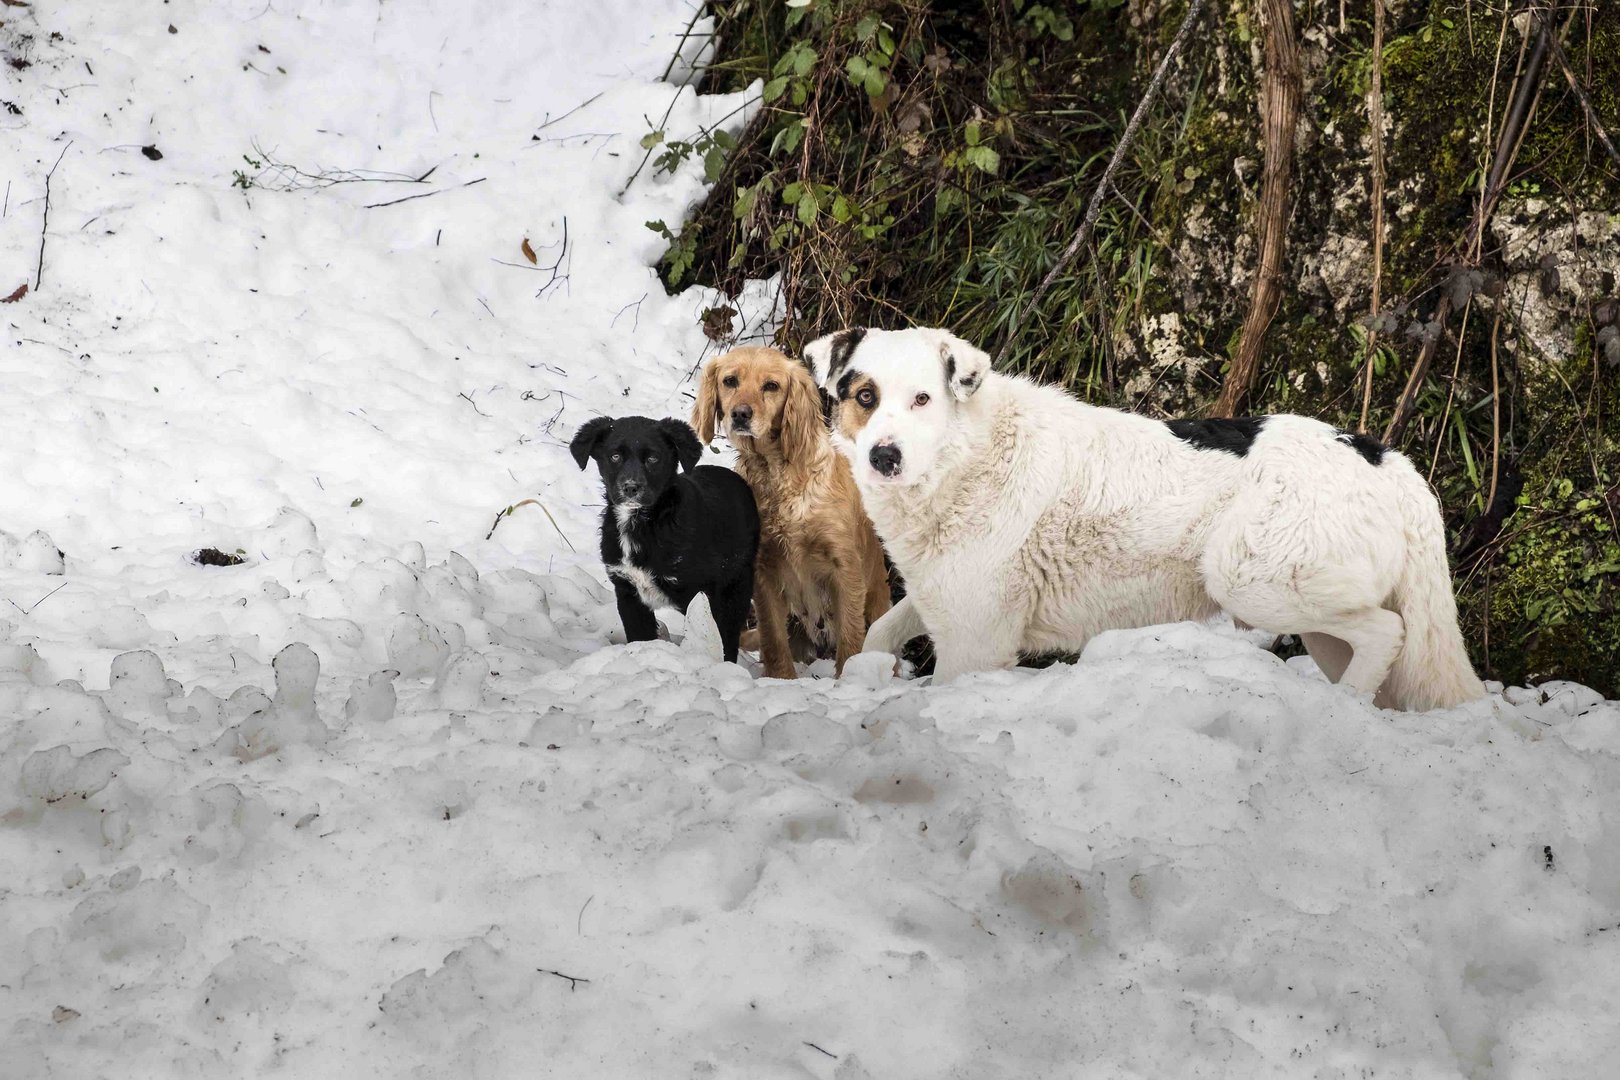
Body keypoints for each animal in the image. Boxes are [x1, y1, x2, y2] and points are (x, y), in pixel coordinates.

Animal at [570, 417, 758, 663]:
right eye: (615, 456)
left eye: (653, 458)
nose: (631, 487)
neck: (645, 524)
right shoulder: (628, 594)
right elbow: (640, 638)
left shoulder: (700, 593)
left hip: (735, 588)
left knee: (729, 637)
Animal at [690, 351, 894, 680]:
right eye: (730, 381)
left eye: (771, 386)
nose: (740, 414)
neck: (776, 475)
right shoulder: (763, 570)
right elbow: (773, 639)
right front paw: (781, 679)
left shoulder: (844, 567)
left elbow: (851, 637)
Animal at [803, 327, 1483, 718]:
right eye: (865, 397)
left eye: (923, 399)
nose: (883, 457)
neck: (965, 456)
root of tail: (1386, 458)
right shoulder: (939, 598)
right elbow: (877, 633)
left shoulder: (978, 643)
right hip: (1316, 620)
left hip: (1251, 581)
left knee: (1388, 633)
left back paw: (1339, 711)